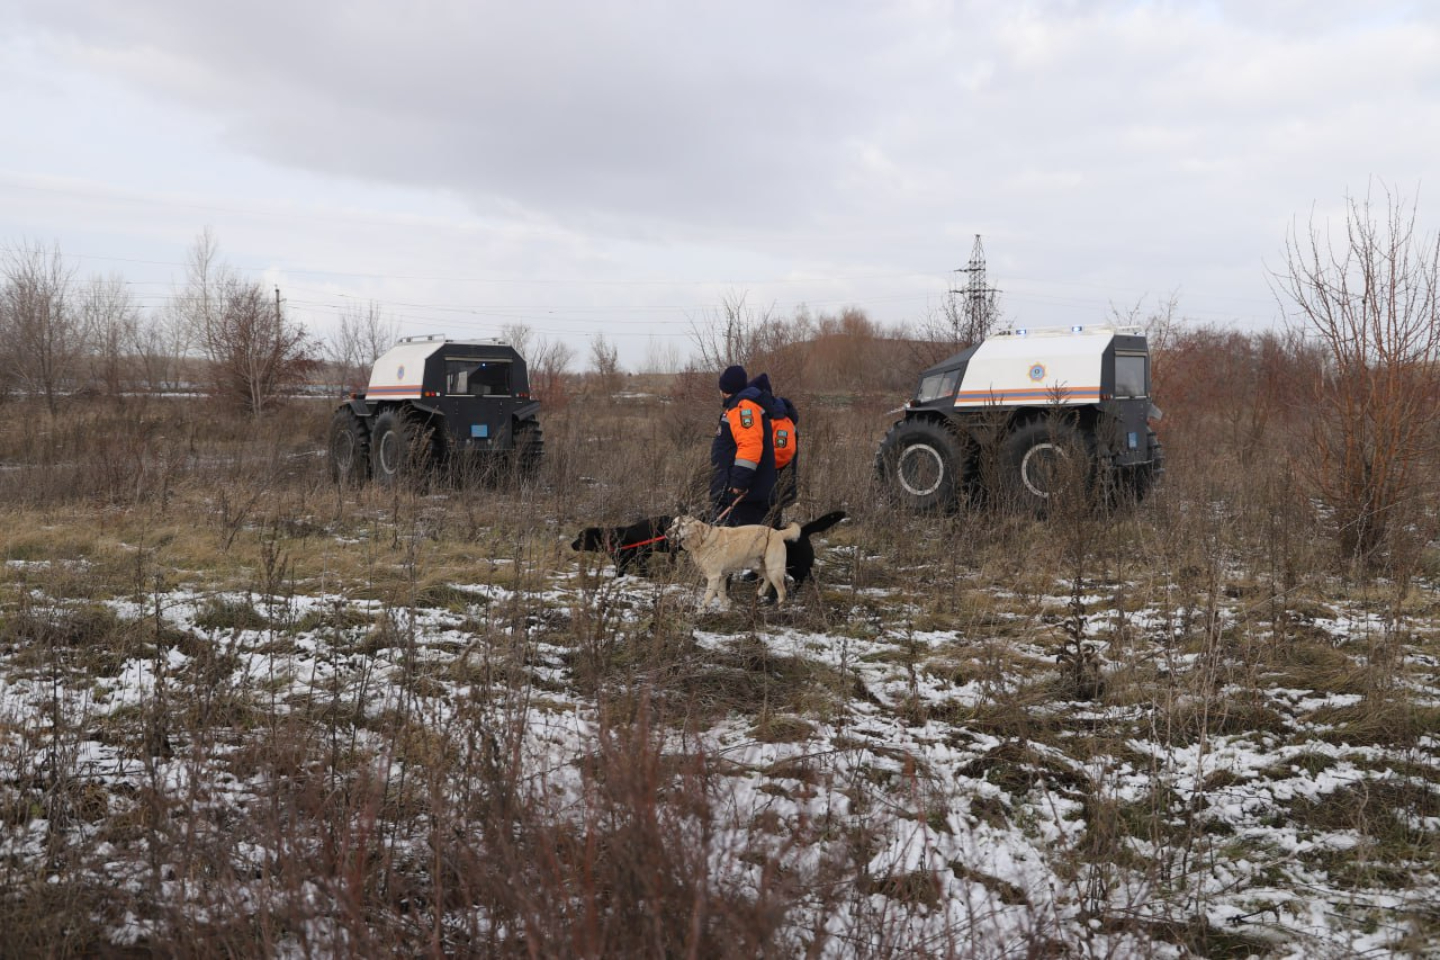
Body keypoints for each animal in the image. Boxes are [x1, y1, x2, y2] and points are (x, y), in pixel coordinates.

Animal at [671, 518, 806, 607]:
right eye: (673, 523)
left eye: (682, 526)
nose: (668, 532)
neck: (703, 540)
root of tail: (778, 532)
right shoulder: (723, 575)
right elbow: (721, 593)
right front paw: (726, 606)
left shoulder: (714, 576)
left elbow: (707, 598)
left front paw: (700, 613)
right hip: (757, 565)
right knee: (766, 578)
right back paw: (761, 592)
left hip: (773, 568)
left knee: (782, 591)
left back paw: (778, 609)